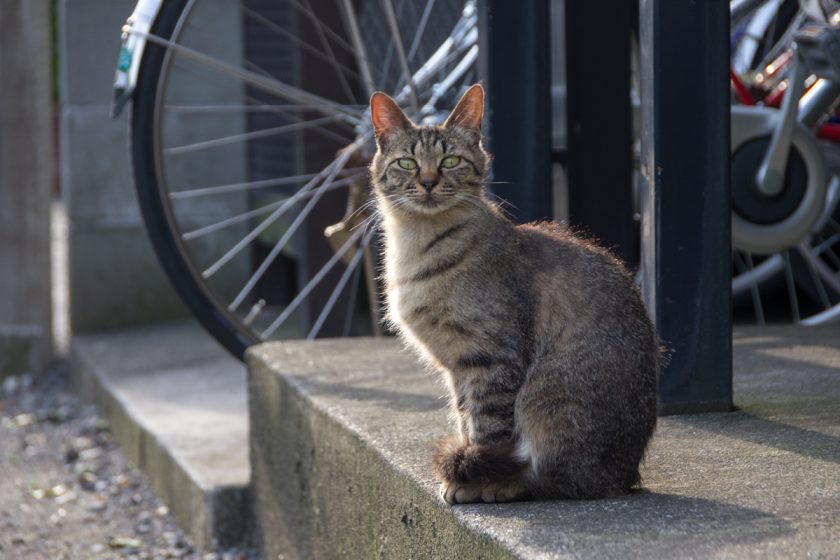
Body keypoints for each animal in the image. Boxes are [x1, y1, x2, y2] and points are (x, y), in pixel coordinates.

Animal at [370, 85, 660, 506]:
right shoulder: (459, 367)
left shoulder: (491, 358)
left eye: (451, 160)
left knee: (561, 479)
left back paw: (508, 483)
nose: (427, 181)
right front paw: (466, 470)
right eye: (407, 163)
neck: (417, 247)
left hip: (548, 401)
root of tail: (626, 475)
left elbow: (489, 432)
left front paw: (473, 480)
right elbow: (466, 420)